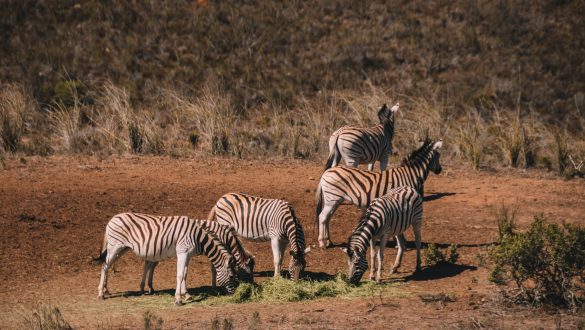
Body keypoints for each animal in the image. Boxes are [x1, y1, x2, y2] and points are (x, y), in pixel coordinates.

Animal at [94, 213, 236, 306]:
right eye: (231, 276)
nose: (235, 293)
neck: (197, 237)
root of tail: (113, 218)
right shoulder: (182, 252)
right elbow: (180, 275)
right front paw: (178, 299)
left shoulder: (187, 254)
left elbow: (185, 274)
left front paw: (187, 295)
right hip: (115, 246)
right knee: (104, 266)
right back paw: (101, 293)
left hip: (122, 248)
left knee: (107, 265)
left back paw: (106, 291)